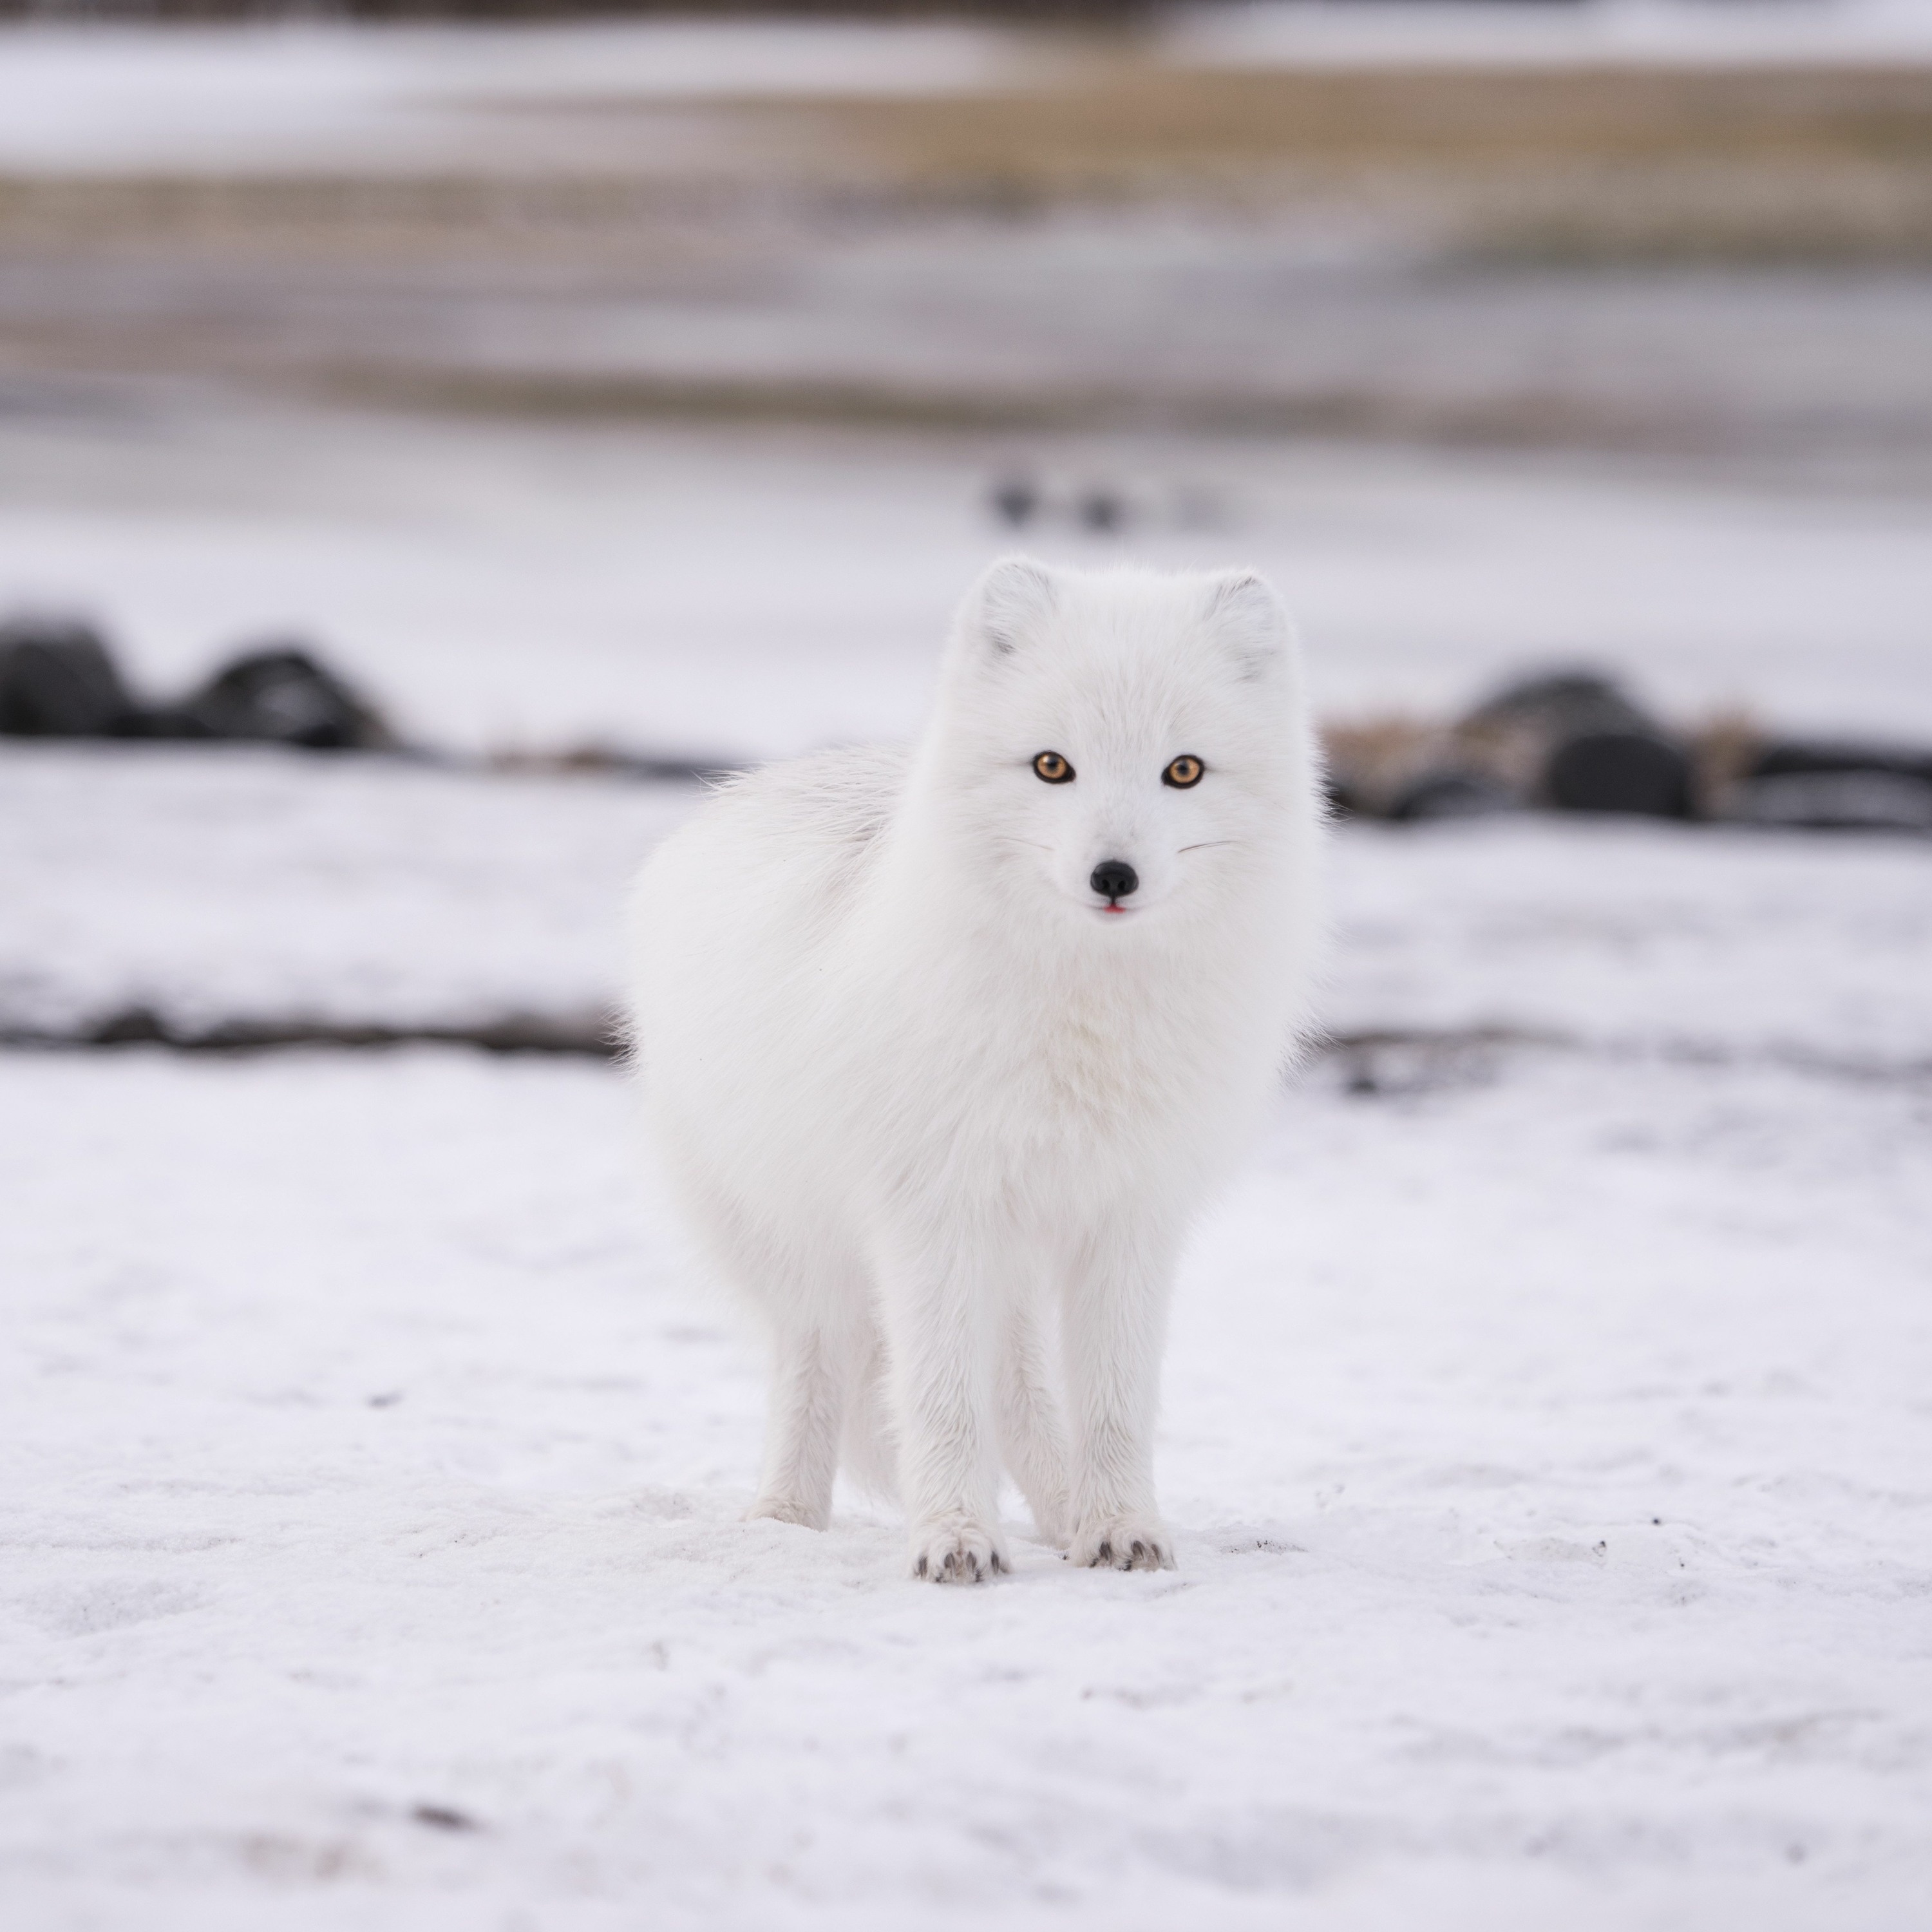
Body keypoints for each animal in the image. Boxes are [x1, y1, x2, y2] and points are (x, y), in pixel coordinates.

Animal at [625, 557, 1325, 1582]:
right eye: (1052, 766)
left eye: (1184, 770)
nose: (1113, 876)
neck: (1083, 1020)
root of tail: (754, 786)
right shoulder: (931, 1216)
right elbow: (943, 1400)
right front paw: (953, 1539)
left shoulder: (1131, 1219)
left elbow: (1114, 1403)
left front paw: (1121, 1527)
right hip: (800, 1247)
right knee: (816, 1366)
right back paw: (786, 1518)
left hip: (1014, 1265)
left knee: (1026, 1396)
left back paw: (1066, 1517)